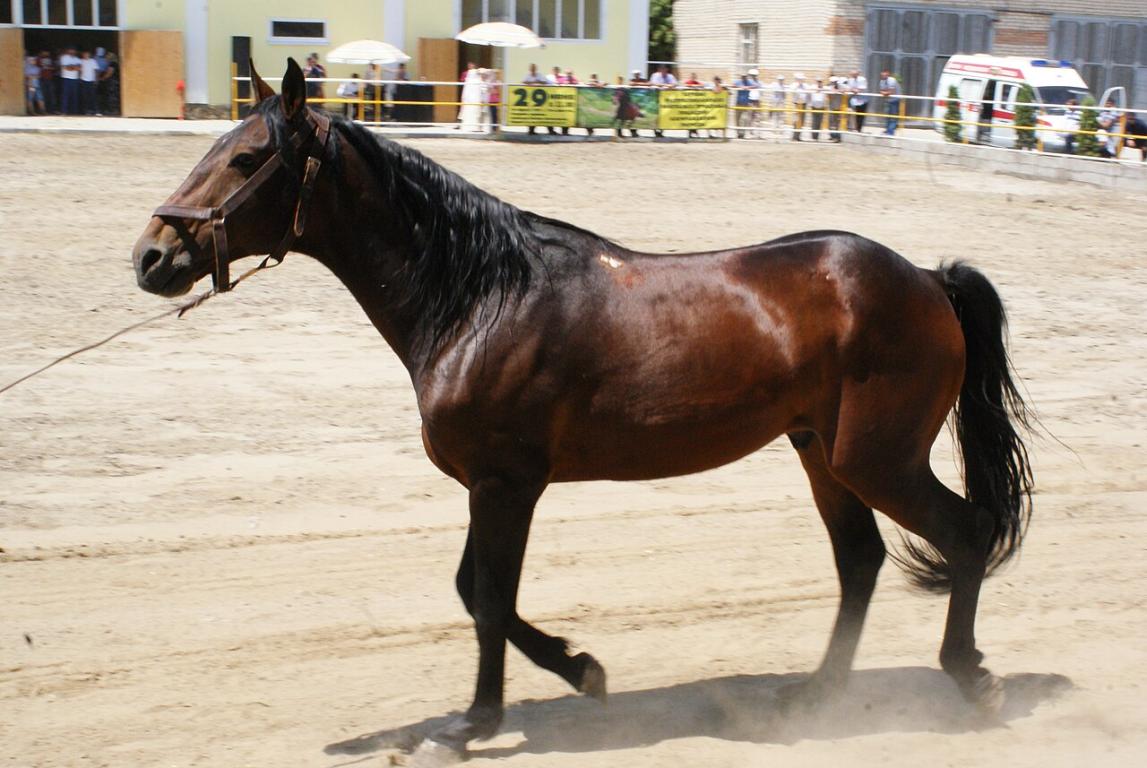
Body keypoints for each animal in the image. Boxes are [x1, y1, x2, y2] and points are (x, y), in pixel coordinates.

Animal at [132, 59, 1033, 754]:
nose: (151, 255)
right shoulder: (488, 484)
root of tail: (927, 280)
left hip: (875, 458)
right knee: (860, 562)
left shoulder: (507, 483)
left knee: (965, 533)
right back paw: (815, 698)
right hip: (819, 451)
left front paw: (474, 722)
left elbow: (488, 597)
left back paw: (971, 681)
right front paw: (578, 668)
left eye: (249, 159)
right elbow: (476, 591)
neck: (480, 298)